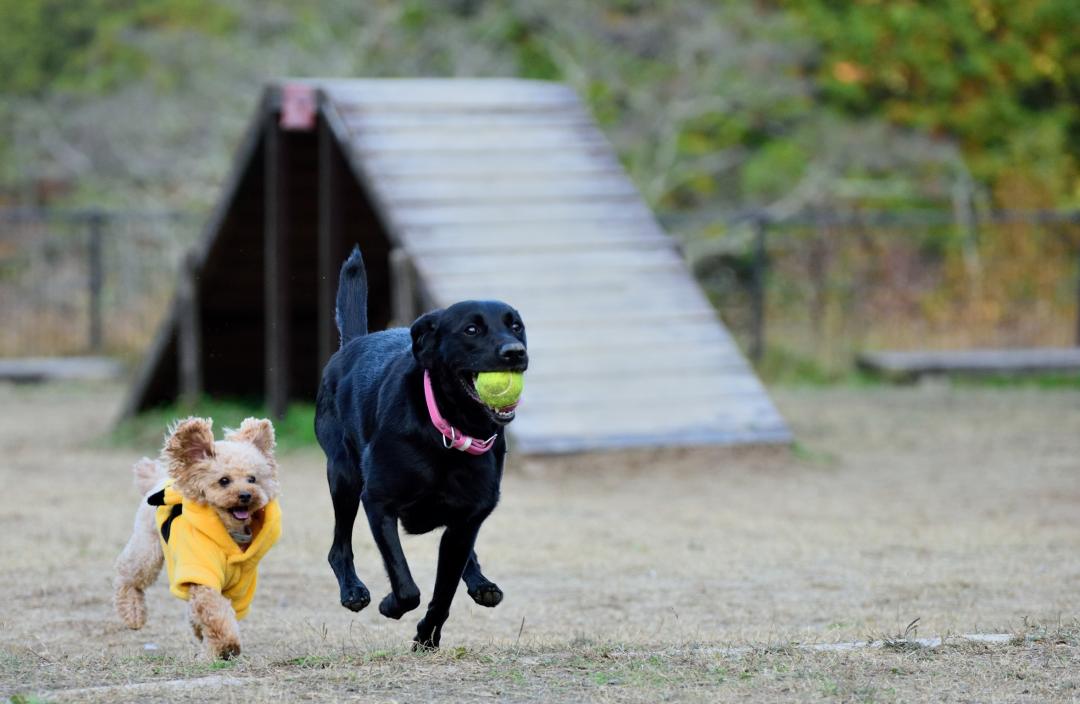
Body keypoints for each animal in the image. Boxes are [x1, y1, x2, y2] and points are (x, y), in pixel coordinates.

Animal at [313, 247, 527, 647]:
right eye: (471, 329)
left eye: (516, 326)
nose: (515, 352)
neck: (450, 431)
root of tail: (353, 343)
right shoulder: (378, 502)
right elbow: (407, 584)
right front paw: (391, 606)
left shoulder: (465, 523)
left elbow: (443, 594)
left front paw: (427, 638)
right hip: (343, 476)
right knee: (338, 548)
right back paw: (353, 591)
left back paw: (480, 583)